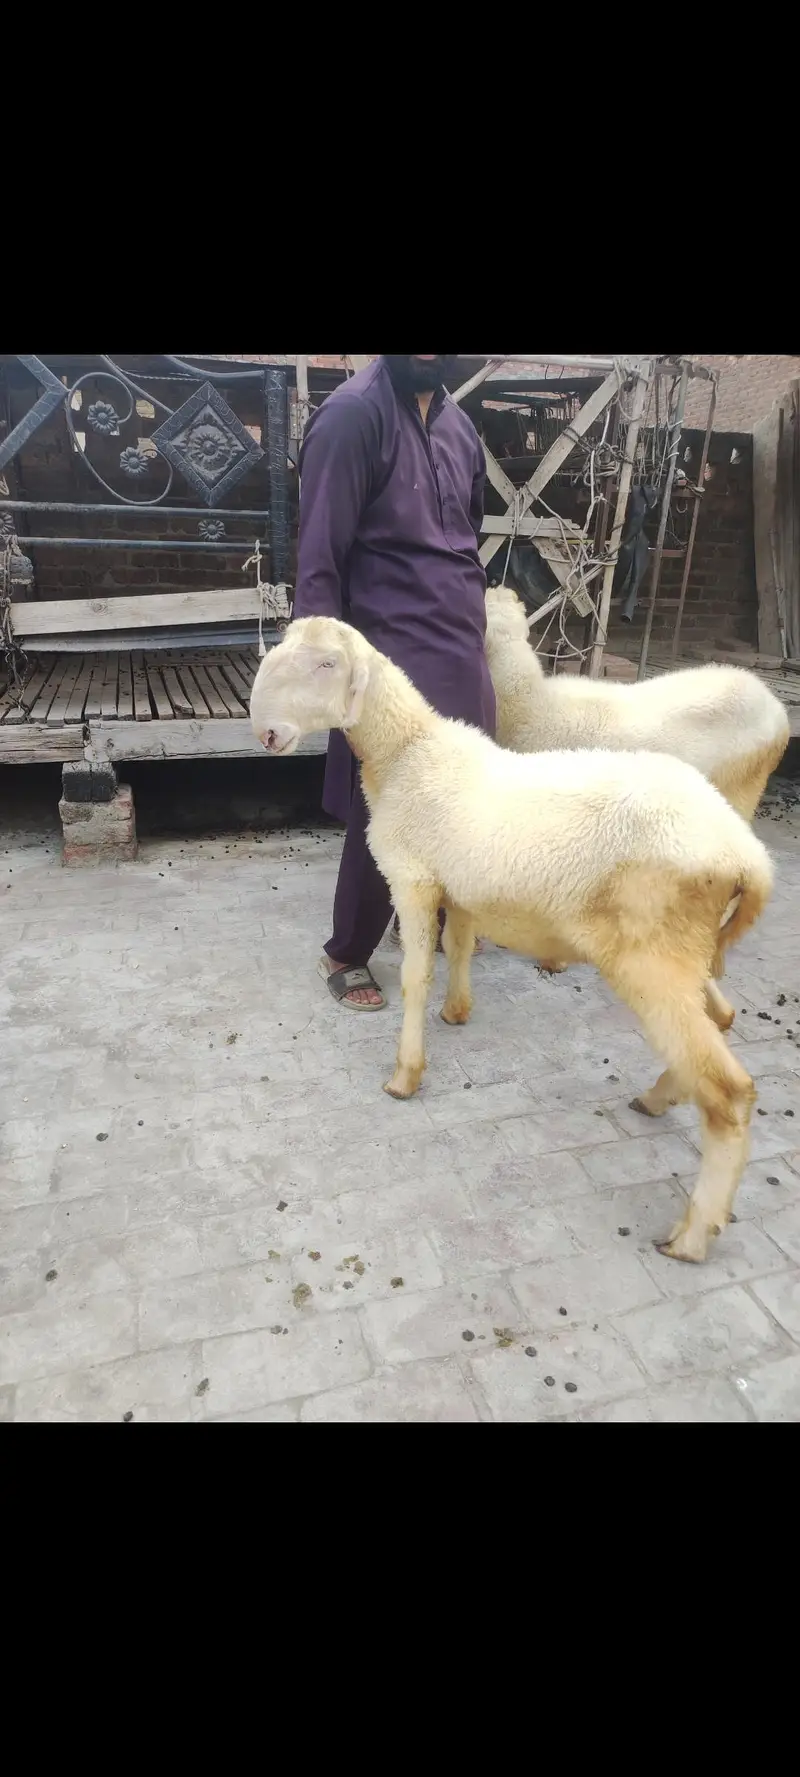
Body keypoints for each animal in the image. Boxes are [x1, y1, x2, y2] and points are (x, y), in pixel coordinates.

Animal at [251, 616, 774, 1264]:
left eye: (326, 664)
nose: (267, 732)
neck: (408, 756)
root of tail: (746, 856)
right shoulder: (462, 888)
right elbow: (457, 949)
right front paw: (457, 1011)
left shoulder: (413, 881)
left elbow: (416, 977)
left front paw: (406, 1074)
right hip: (686, 951)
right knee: (718, 1025)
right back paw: (659, 1098)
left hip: (651, 955)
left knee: (729, 1092)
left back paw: (693, 1233)